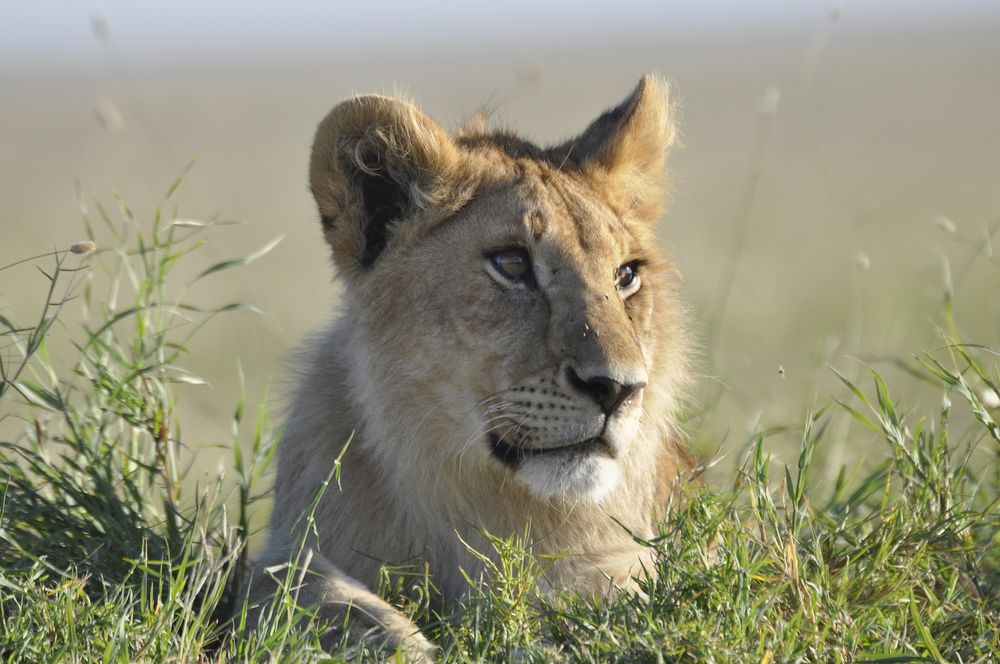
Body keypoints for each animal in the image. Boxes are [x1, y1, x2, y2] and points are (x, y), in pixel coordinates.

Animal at [246, 74, 694, 660]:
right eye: (512, 264)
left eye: (626, 276)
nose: (618, 389)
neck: (479, 502)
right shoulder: (288, 549)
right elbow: (298, 586)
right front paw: (399, 642)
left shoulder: (625, 562)